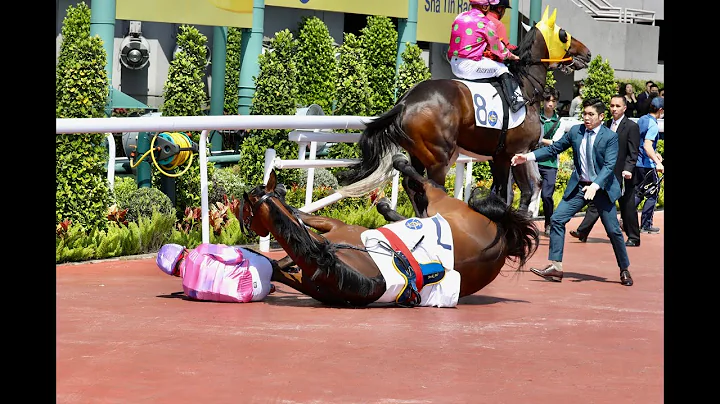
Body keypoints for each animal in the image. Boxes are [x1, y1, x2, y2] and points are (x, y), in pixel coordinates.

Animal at [338, 7, 592, 218]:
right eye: (563, 34)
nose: (588, 53)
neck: (524, 87)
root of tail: (406, 102)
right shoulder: (516, 152)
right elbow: (520, 192)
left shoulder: (501, 156)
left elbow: (505, 193)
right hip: (438, 157)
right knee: (431, 188)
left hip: (418, 153)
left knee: (413, 185)